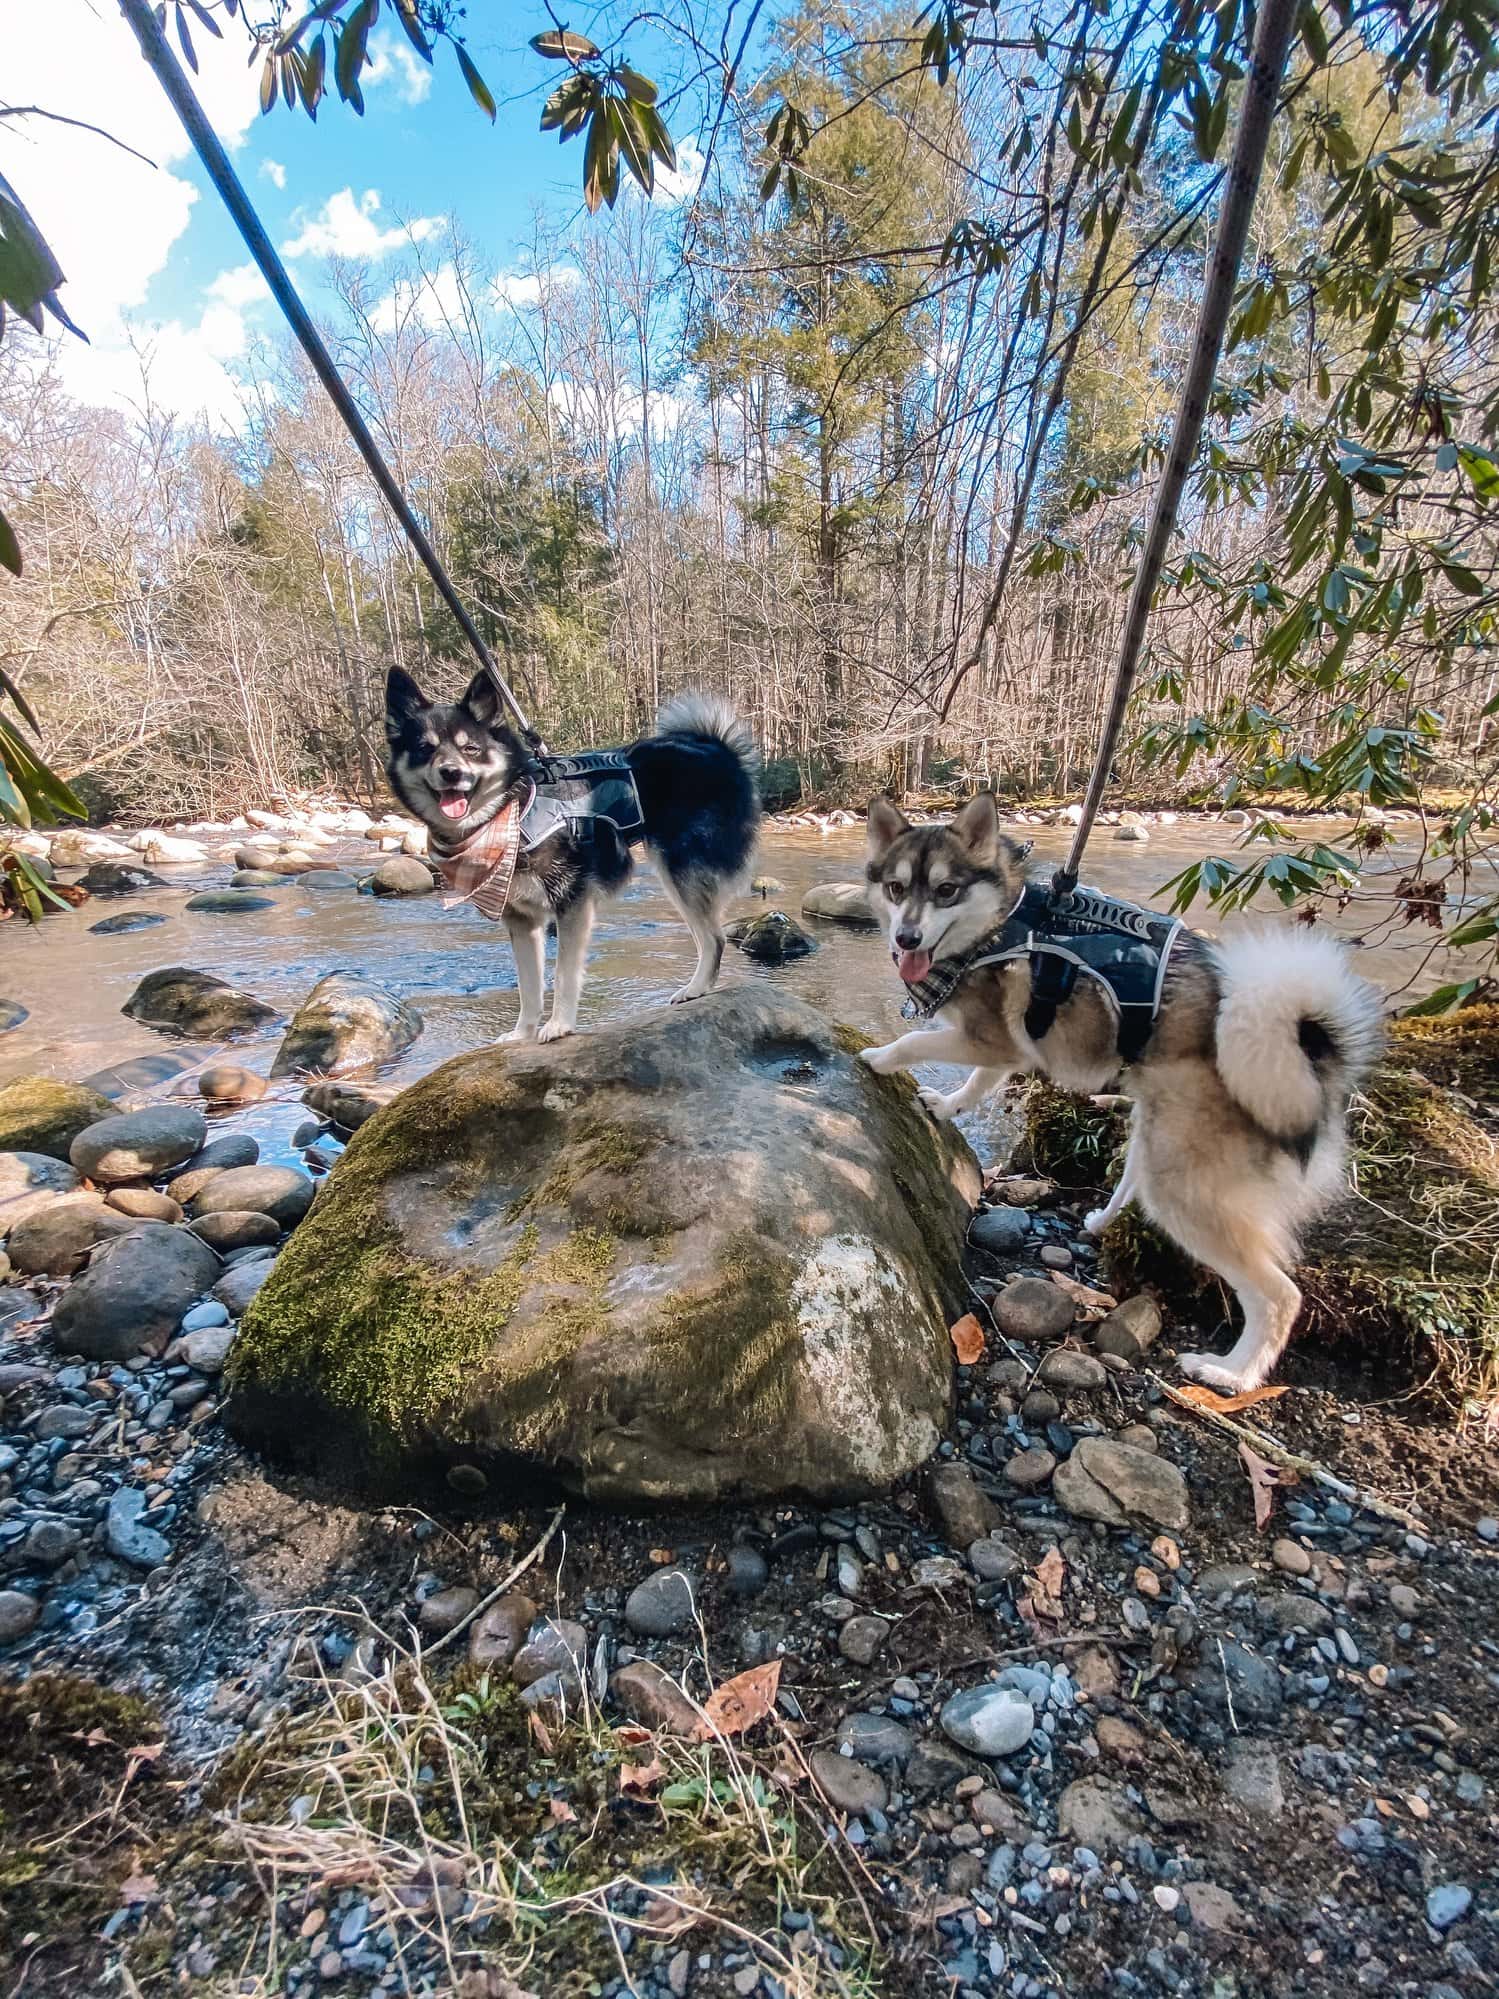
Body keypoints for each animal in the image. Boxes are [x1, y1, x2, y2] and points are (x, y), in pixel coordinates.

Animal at [383, 671, 755, 1047]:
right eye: (424, 749)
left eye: (470, 748)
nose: (451, 772)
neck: (512, 811)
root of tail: (714, 746)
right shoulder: (521, 921)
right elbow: (529, 986)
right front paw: (523, 1032)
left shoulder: (572, 902)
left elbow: (563, 974)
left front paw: (559, 1024)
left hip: (679, 869)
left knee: (714, 938)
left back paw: (695, 988)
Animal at [855, 791, 1383, 1391]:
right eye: (896, 889)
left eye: (946, 890)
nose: (906, 939)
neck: (1002, 922)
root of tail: (1309, 1059)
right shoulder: (1005, 1049)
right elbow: (978, 1082)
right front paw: (946, 1105)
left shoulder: (985, 1038)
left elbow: (916, 1039)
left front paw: (879, 1059)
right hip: (1160, 1129)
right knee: (1135, 1173)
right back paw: (1101, 1221)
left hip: (1188, 1187)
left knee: (1279, 1296)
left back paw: (1232, 1373)